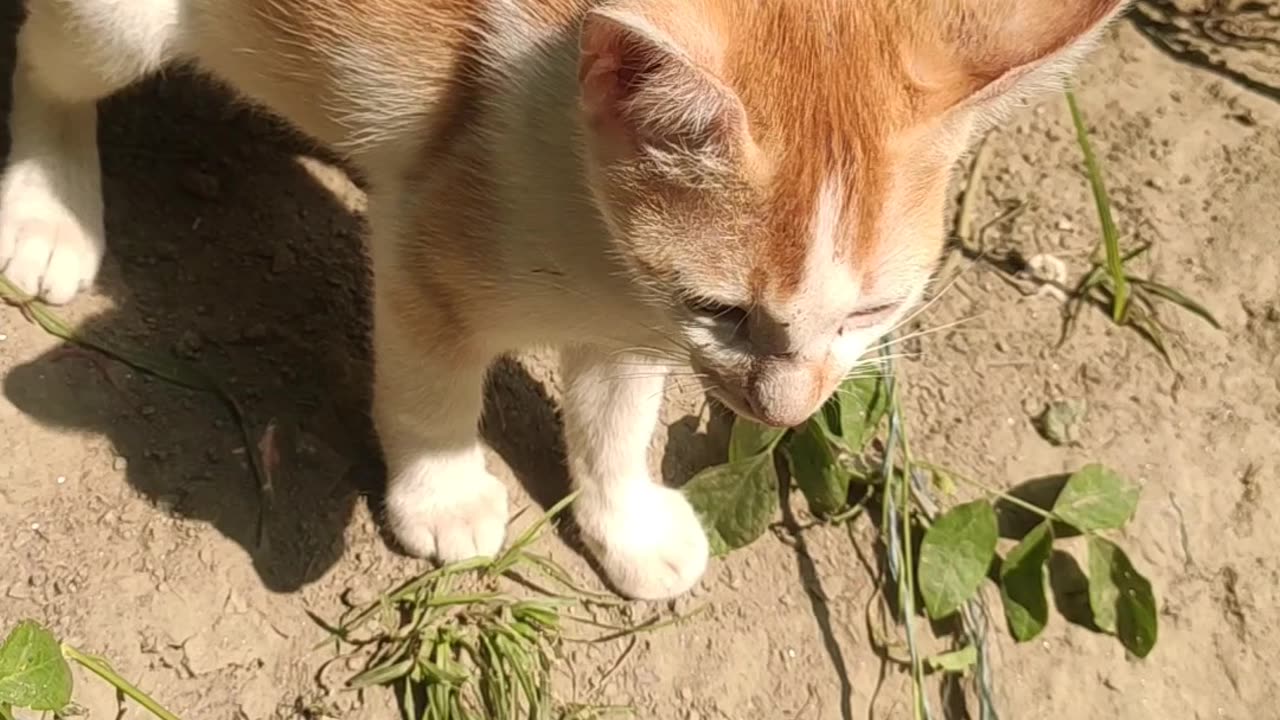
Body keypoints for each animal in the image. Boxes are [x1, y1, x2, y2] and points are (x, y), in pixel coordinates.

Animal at [5, 0, 1131, 594]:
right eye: (726, 310)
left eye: (869, 314)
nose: (787, 411)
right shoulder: (432, 246)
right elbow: (429, 388)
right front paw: (445, 496)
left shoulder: (633, 316)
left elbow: (615, 420)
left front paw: (625, 522)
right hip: (118, 24)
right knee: (44, 63)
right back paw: (48, 209)